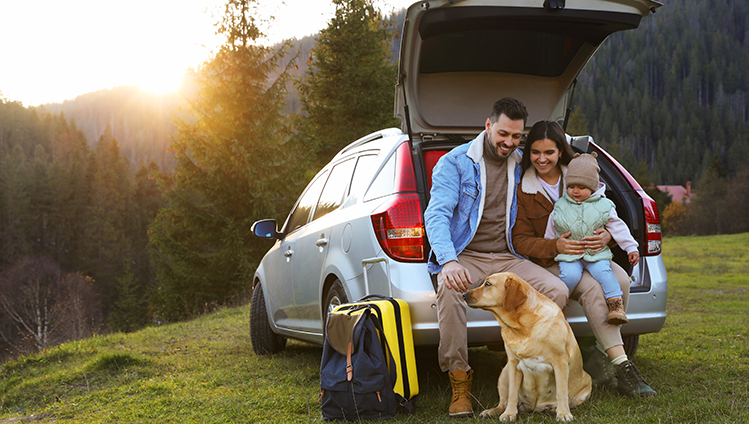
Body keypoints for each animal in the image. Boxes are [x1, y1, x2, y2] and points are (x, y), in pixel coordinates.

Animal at [462, 272, 592, 420]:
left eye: (488, 284)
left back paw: (553, 409)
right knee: (503, 402)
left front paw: (563, 413)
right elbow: (512, 394)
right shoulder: (513, 364)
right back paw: (491, 411)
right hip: (504, 372)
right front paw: (509, 414)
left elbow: (561, 392)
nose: (463, 294)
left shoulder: (560, 362)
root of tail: (535, 408)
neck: (523, 327)